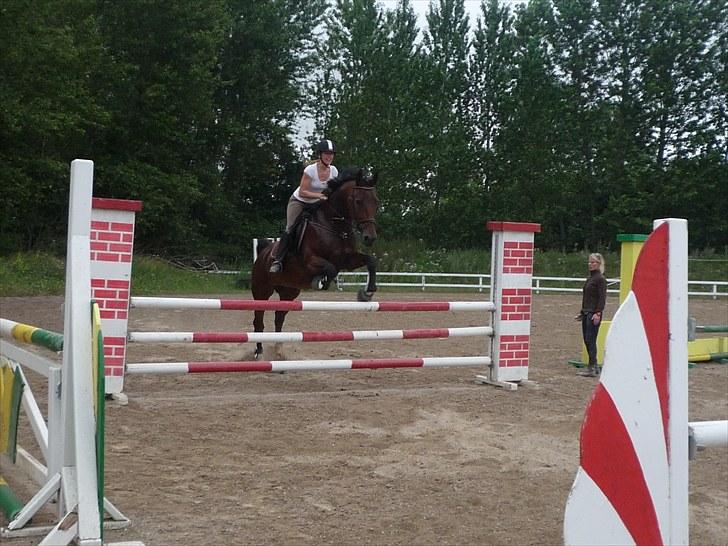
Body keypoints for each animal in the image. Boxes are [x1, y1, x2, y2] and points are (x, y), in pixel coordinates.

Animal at [250, 168, 382, 360]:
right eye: (358, 201)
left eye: (376, 202)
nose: (369, 238)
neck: (334, 225)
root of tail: (263, 253)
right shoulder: (310, 261)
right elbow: (330, 269)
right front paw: (321, 281)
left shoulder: (347, 260)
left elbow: (370, 261)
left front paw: (366, 293)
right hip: (261, 291)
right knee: (258, 320)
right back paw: (259, 352)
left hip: (289, 292)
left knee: (279, 317)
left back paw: (278, 351)